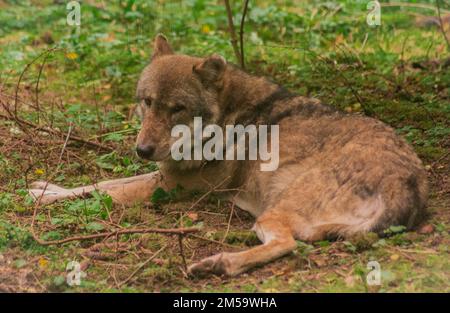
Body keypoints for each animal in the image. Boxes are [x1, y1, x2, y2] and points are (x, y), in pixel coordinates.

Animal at [29, 34, 428, 276]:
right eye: (148, 102)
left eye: (177, 108)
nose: (142, 150)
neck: (227, 117)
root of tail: (408, 185)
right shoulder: (163, 174)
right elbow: (100, 182)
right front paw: (45, 189)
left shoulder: (169, 186)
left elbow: (105, 191)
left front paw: (46, 199)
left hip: (272, 212)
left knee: (287, 245)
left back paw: (218, 263)